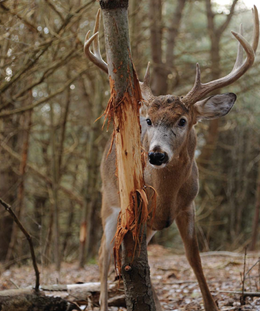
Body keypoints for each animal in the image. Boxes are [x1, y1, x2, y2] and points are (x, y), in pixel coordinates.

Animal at [84, 6, 258, 311]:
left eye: (182, 120)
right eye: (149, 120)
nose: (156, 154)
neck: (165, 194)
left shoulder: (188, 206)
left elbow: (194, 260)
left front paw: (211, 304)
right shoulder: (138, 212)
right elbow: (134, 264)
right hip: (110, 200)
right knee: (104, 254)